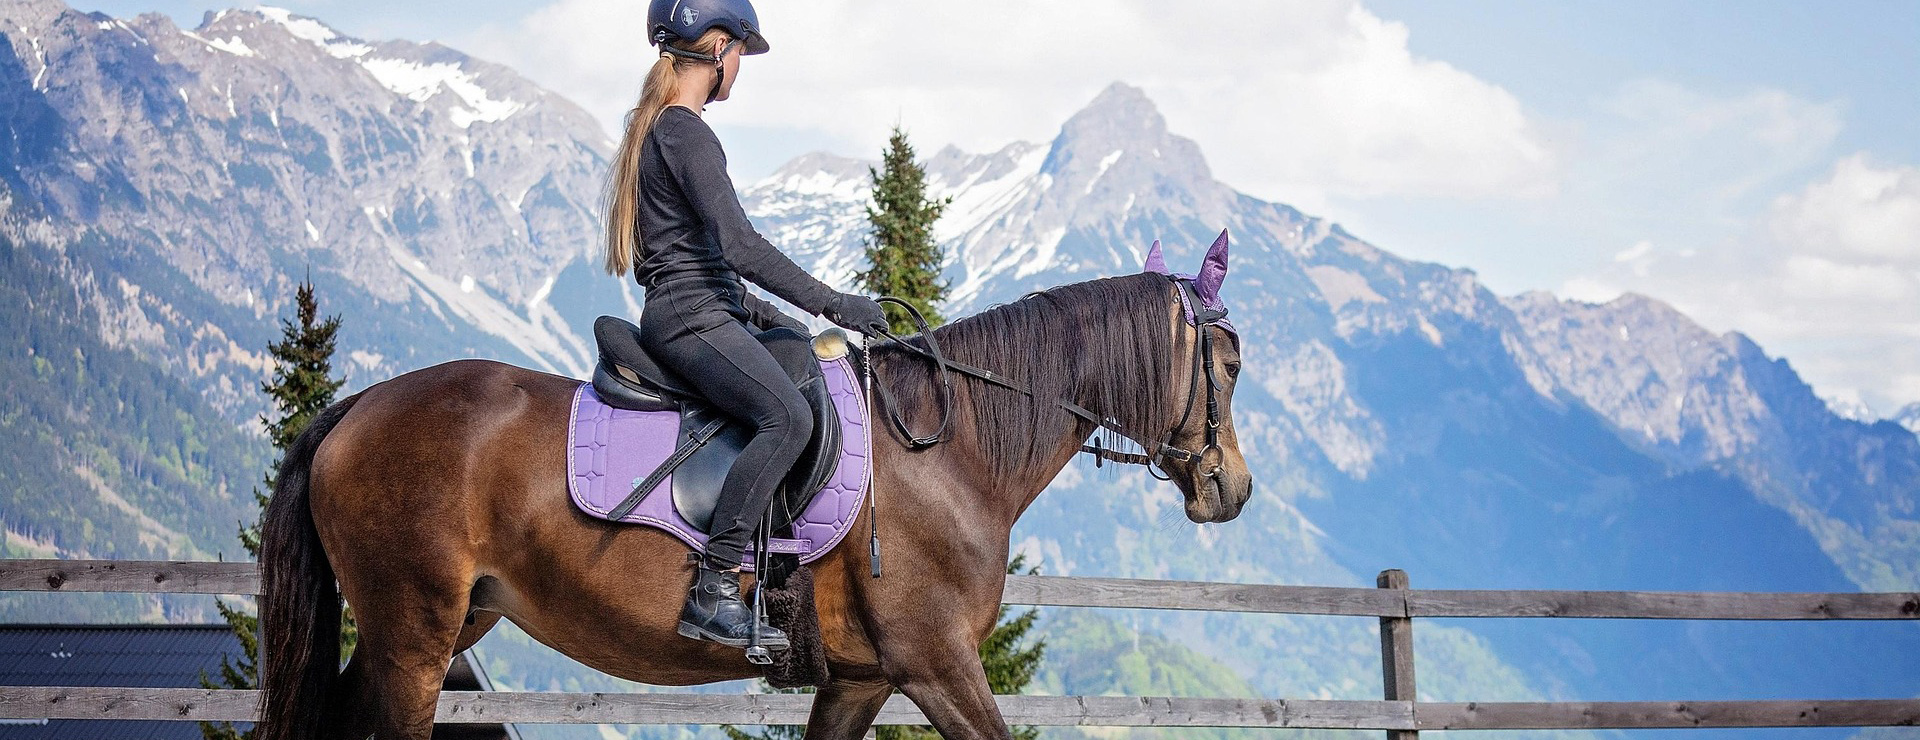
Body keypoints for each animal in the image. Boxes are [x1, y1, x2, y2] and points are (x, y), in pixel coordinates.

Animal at [256, 242, 1254, 740]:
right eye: (1232, 363)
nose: (1232, 489)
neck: (949, 450)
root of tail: (359, 407)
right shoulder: (936, 664)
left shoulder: (860, 680)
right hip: (415, 636)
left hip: (440, 625)